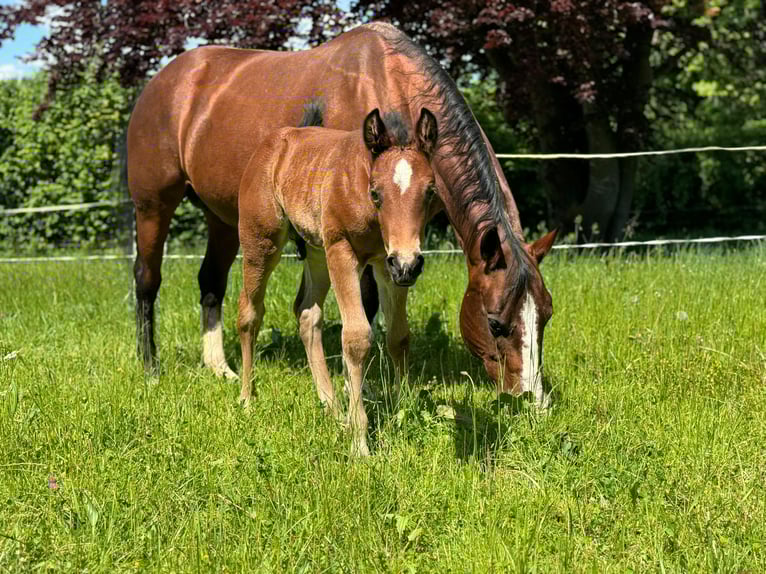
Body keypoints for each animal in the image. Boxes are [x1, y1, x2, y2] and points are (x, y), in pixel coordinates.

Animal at [127, 22, 556, 407]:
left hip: (225, 219)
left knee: (212, 281)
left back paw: (220, 368)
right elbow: (362, 307)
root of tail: (166, 79)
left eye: (546, 316)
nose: (533, 400)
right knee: (147, 278)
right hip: (153, 207)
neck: (388, 84)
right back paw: (150, 369)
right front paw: (356, 389)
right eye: (495, 322)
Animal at [238, 105, 438, 455]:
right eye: (376, 193)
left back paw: (332, 409)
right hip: (262, 244)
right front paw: (360, 442)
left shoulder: (385, 265)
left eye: (429, 192)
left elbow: (398, 336)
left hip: (317, 251)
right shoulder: (343, 251)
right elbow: (356, 338)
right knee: (249, 313)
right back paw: (247, 399)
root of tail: (273, 143)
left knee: (307, 314)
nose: (409, 264)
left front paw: (402, 409)